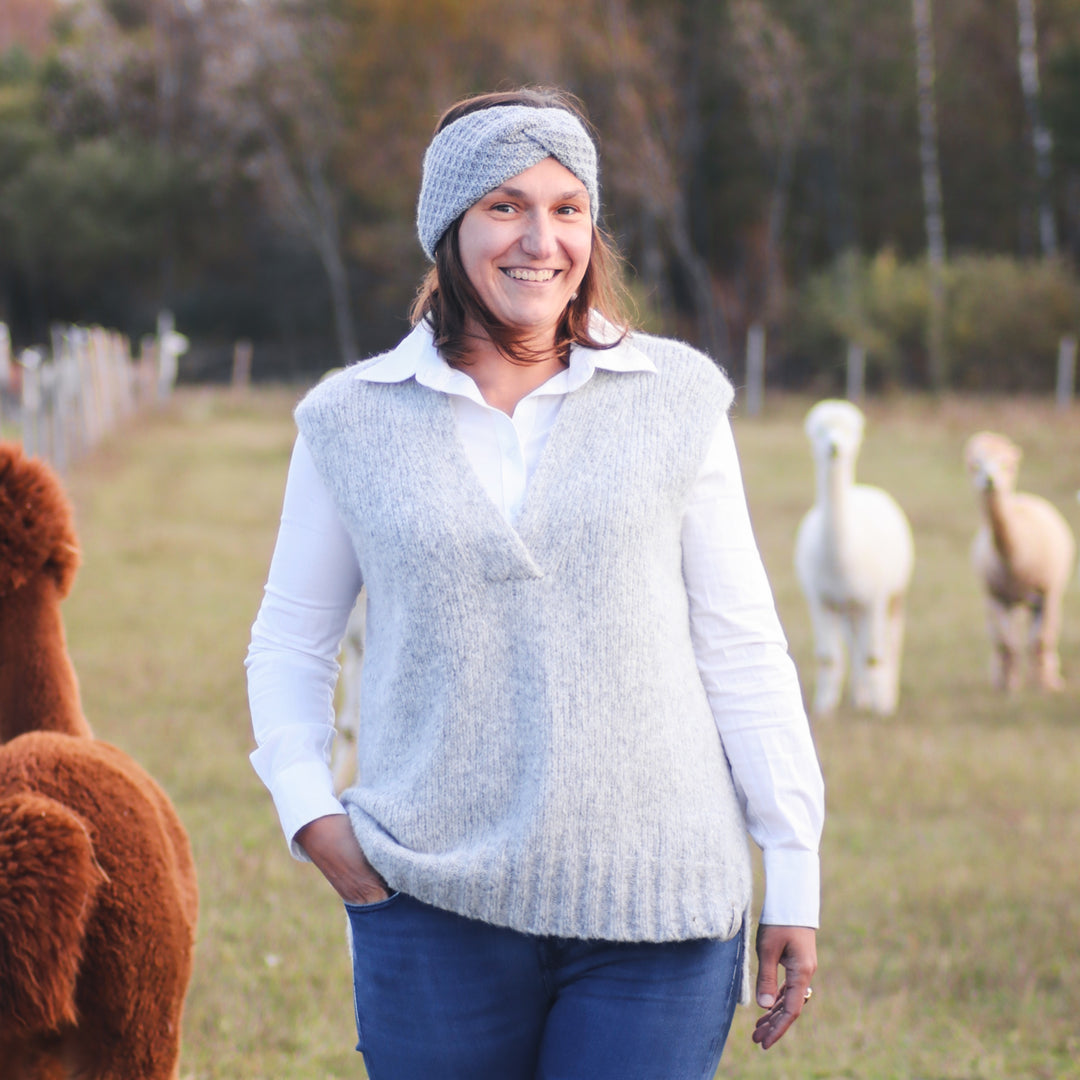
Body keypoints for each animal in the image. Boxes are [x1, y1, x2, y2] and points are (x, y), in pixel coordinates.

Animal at [794, 400, 915, 716]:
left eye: (851, 431)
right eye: (820, 431)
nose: (834, 447)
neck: (840, 560)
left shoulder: (874, 598)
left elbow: (873, 655)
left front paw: (881, 707)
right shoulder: (820, 598)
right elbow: (829, 657)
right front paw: (824, 706)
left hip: (894, 592)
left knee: (890, 642)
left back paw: (886, 694)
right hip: (849, 605)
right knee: (854, 643)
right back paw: (859, 696)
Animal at [964, 431, 1076, 691]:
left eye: (1006, 465)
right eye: (975, 465)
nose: (990, 480)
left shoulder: (1047, 591)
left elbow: (1041, 640)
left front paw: (1044, 686)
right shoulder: (997, 596)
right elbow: (1007, 644)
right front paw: (1010, 687)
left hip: (1045, 597)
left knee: (1044, 637)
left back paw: (1047, 676)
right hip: (1004, 601)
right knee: (1002, 640)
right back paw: (1002, 677)